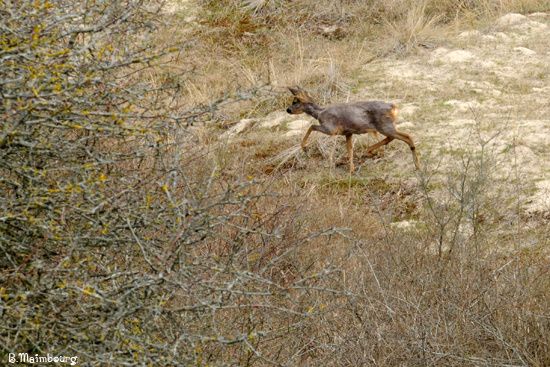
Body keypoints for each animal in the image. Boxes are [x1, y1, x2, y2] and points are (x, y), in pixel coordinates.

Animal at [286, 87, 420, 173]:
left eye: (295, 101)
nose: (288, 110)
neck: (320, 113)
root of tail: (393, 107)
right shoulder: (348, 133)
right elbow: (349, 149)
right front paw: (351, 169)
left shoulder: (331, 129)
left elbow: (311, 126)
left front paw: (304, 147)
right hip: (384, 127)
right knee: (392, 138)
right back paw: (370, 151)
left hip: (384, 126)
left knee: (407, 136)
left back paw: (417, 165)